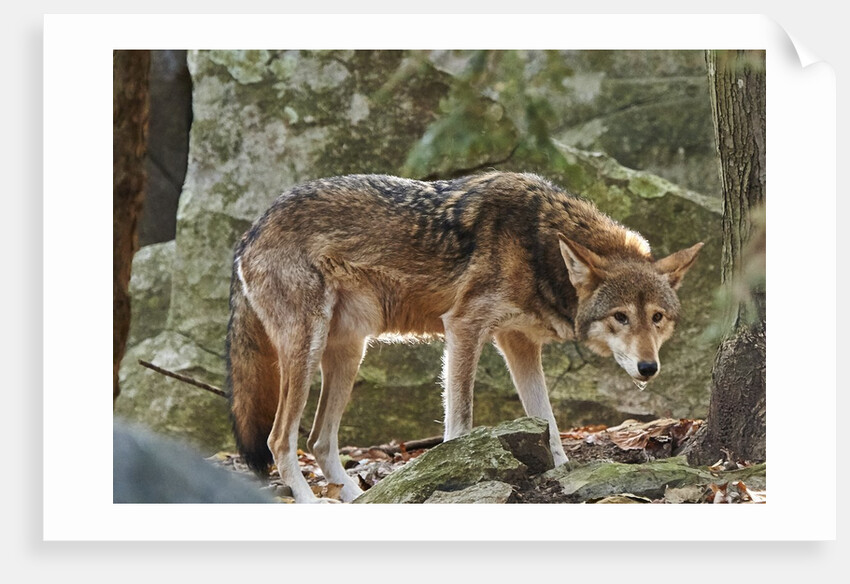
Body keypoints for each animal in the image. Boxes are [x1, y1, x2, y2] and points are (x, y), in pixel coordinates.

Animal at [227, 172, 703, 503]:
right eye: (621, 317)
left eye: (657, 318)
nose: (648, 367)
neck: (537, 245)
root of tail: (249, 233)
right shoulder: (464, 328)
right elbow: (461, 422)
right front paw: (453, 471)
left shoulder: (517, 342)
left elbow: (547, 421)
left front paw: (563, 473)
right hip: (307, 354)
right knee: (279, 441)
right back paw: (311, 501)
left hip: (348, 355)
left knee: (320, 441)